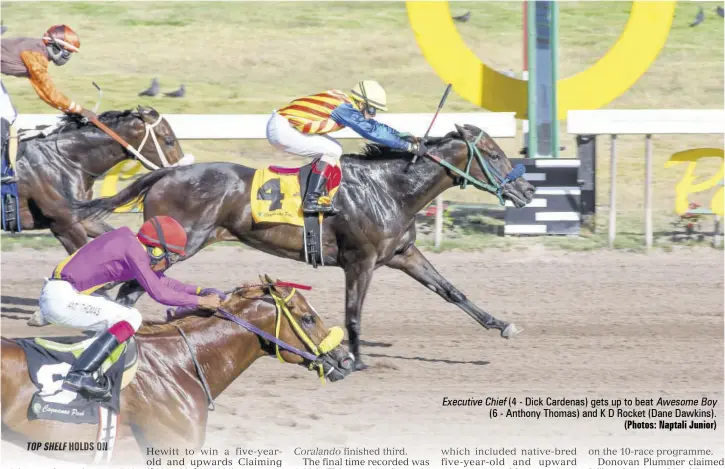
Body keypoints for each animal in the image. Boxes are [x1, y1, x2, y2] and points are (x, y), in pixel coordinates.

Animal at [76, 123, 536, 370]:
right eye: (494, 154)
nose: (529, 191)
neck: (389, 189)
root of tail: (165, 173)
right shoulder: (360, 261)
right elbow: (353, 314)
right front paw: (357, 359)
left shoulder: (402, 254)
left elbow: (451, 291)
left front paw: (501, 325)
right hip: (177, 245)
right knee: (130, 285)